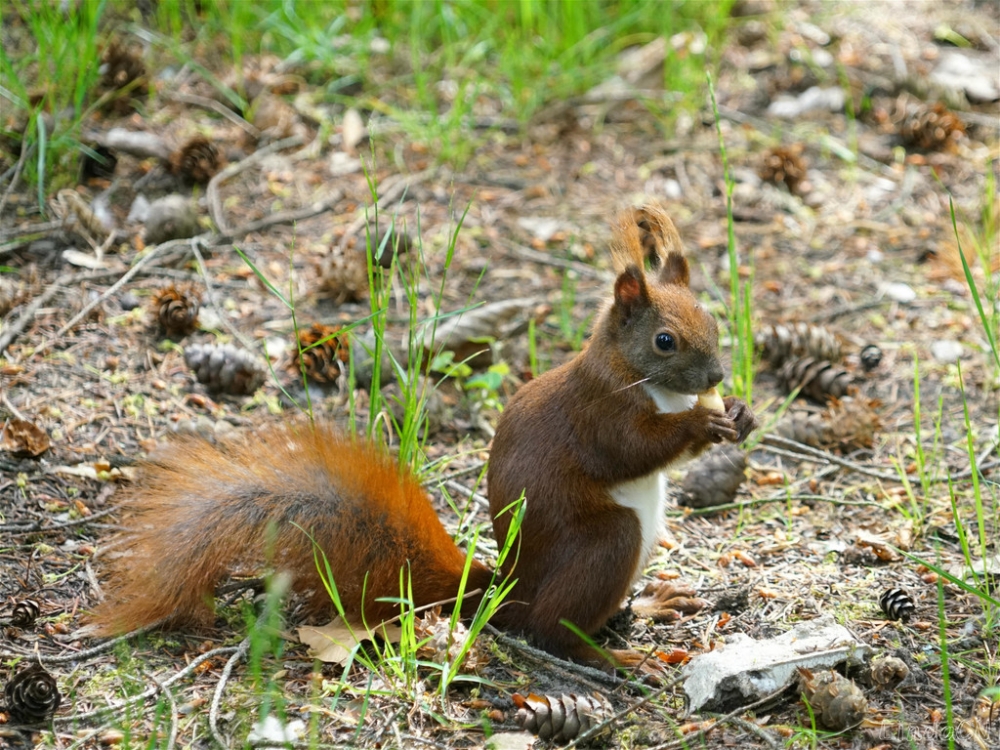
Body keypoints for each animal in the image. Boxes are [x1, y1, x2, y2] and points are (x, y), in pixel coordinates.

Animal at [94, 204, 752, 668]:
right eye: (665, 341)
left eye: (714, 320)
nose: (718, 378)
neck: (636, 377)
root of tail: (508, 590)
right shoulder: (598, 414)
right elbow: (632, 449)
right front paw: (702, 422)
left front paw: (740, 413)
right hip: (608, 543)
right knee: (552, 629)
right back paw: (619, 657)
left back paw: (652, 604)